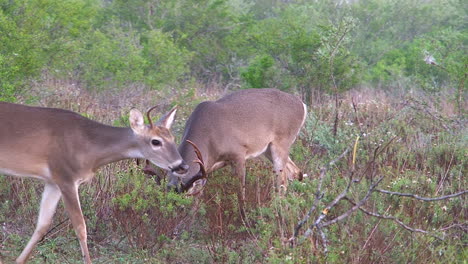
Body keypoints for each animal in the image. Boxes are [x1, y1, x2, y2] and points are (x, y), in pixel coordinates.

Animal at [1, 102, 190, 262]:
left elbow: (43, 224)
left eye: (173, 138)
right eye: (155, 141)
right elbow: (80, 227)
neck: (89, 148)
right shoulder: (66, 177)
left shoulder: (53, 182)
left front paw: (19, 261)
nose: (183, 166)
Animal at [166, 89, 306, 202]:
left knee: (282, 181)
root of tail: (302, 105)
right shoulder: (208, 167)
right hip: (268, 149)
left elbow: (240, 194)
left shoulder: (238, 154)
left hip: (281, 142)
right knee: (295, 173)